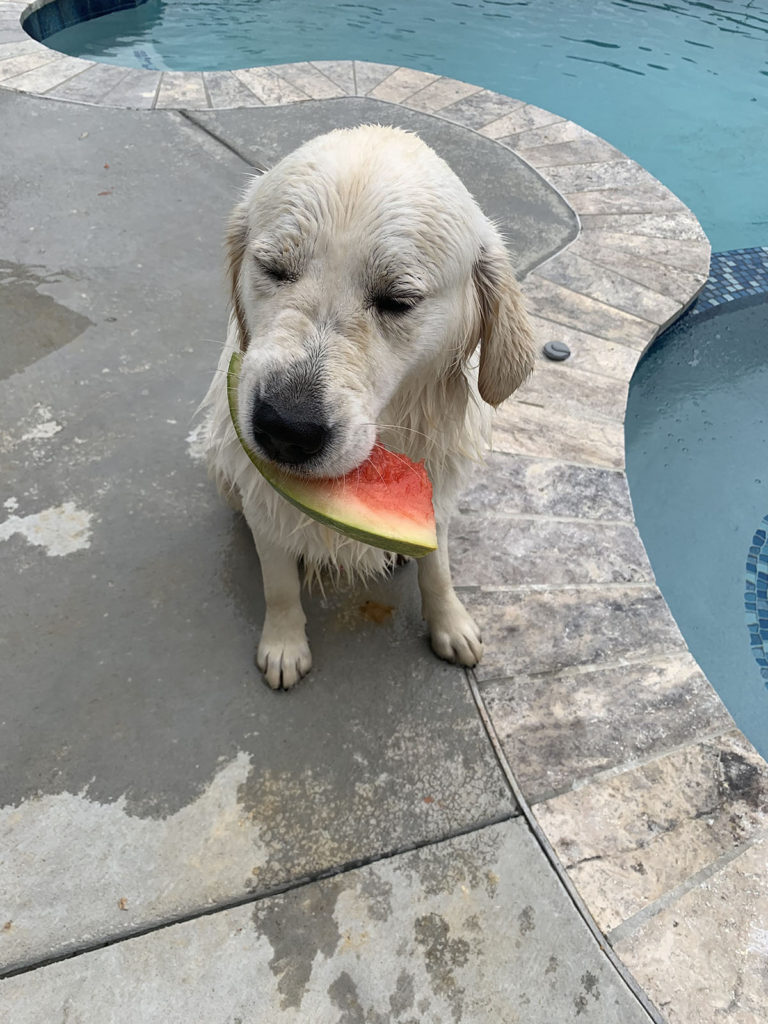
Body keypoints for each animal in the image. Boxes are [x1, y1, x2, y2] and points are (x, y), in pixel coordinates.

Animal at [198, 125, 536, 688]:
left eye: (398, 300)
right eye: (273, 269)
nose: (285, 429)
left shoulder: (439, 496)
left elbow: (438, 571)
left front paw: (450, 624)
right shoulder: (265, 499)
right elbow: (279, 583)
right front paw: (285, 644)